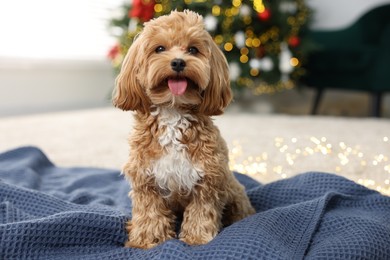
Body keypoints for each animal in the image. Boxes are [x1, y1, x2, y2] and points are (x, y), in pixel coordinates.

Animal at [112, 10, 256, 250]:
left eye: (193, 50)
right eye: (160, 48)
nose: (178, 62)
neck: (173, 112)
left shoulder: (208, 180)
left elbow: (201, 212)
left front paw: (196, 239)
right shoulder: (146, 180)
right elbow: (150, 214)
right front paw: (148, 241)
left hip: (234, 191)